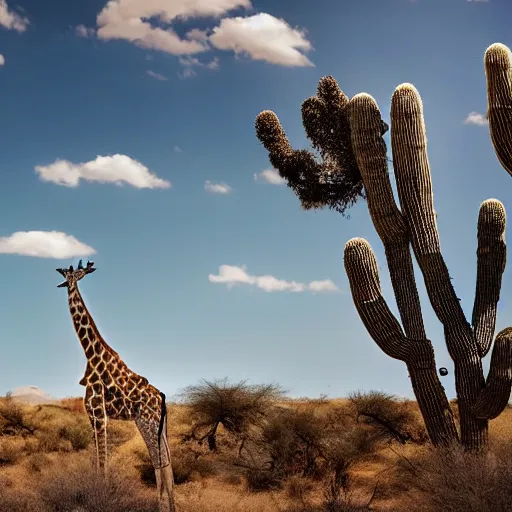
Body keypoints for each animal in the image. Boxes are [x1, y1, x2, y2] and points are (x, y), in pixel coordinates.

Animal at [56, 260, 176, 512]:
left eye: (75, 273)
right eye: (68, 272)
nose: (63, 279)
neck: (91, 355)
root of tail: (161, 397)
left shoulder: (99, 414)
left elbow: (103, 463)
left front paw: (101, 496)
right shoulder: (92, 416)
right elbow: (96, 461)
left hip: (148, 423)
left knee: (160, 465)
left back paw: (161, 505)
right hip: (157, 426)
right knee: (167, 465)